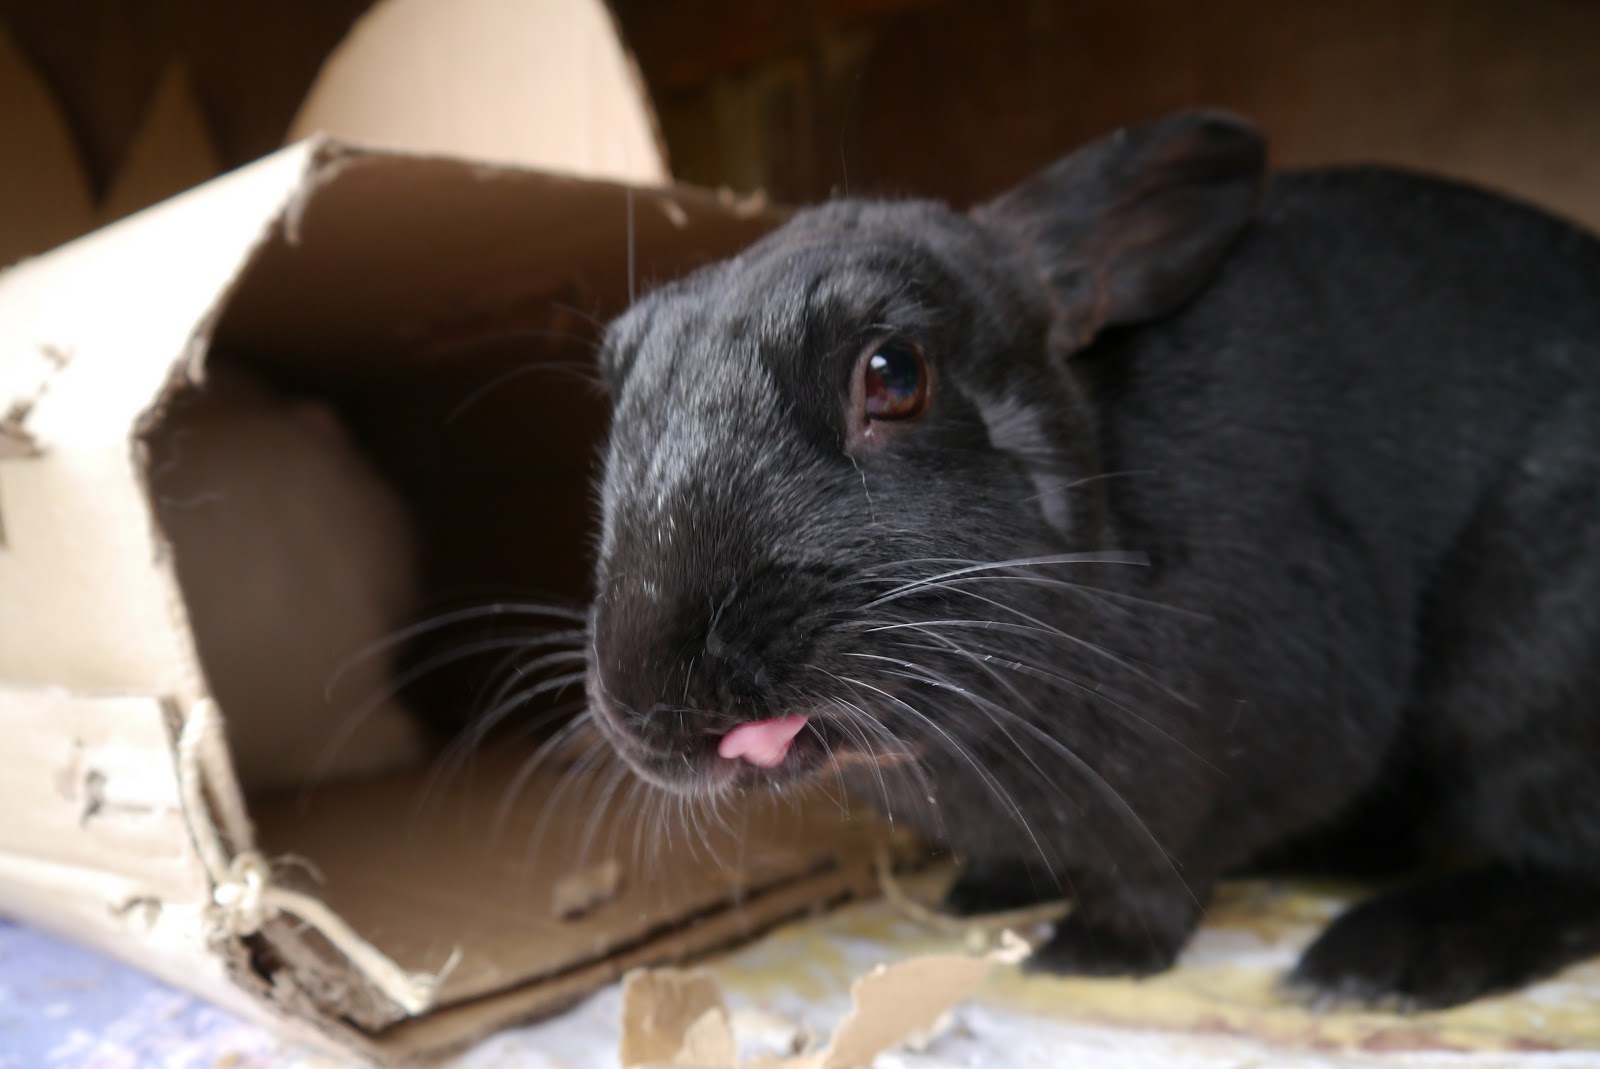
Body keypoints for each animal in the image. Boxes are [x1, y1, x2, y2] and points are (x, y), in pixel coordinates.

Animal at [582, 109, 1600, 1010]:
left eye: (895, 374)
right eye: (620, 382)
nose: (652, 696)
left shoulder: (1204, 783)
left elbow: (1153, 878)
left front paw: (1090, 955)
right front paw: (981, 893)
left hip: (1525, 673)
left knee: (1561, 859)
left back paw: (1376, 962)